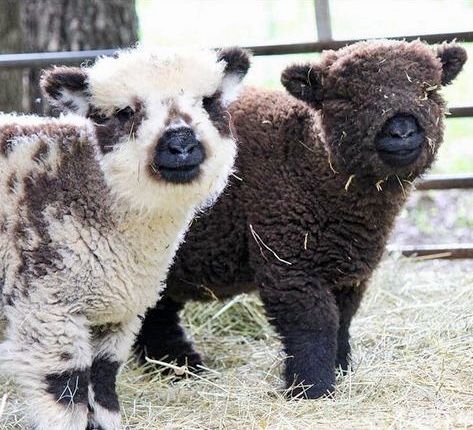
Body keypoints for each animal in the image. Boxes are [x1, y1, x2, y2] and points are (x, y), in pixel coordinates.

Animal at [136, 41, 464, 400]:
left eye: (429, 91)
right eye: (345, 98)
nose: (402, 131)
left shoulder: (347, 270)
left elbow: (342, 319)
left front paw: (340, 369)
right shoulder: (290, 263)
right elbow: (313, 324)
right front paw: (312, 389)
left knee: (156, 313)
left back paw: (175, 365)